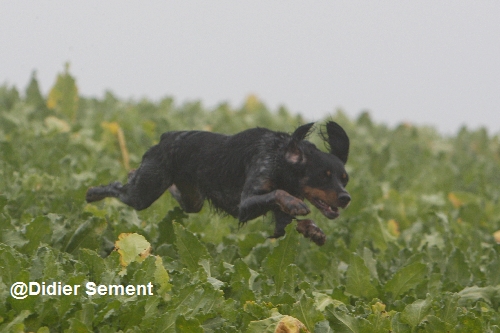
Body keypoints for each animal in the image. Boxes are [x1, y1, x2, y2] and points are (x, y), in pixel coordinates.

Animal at [87, 121, 352, 244]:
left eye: (344, 179)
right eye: (323, 175)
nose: (345, 198)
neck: (279, 158)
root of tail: (166, 137)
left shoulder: (278, 216)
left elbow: (289, 219)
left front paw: (314, 231)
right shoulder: (245, 205)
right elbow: (277, 195)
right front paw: (295, 203)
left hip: (192, 199)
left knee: (179, 196)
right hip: (144, 192)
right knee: (118, 188)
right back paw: (93, 192)